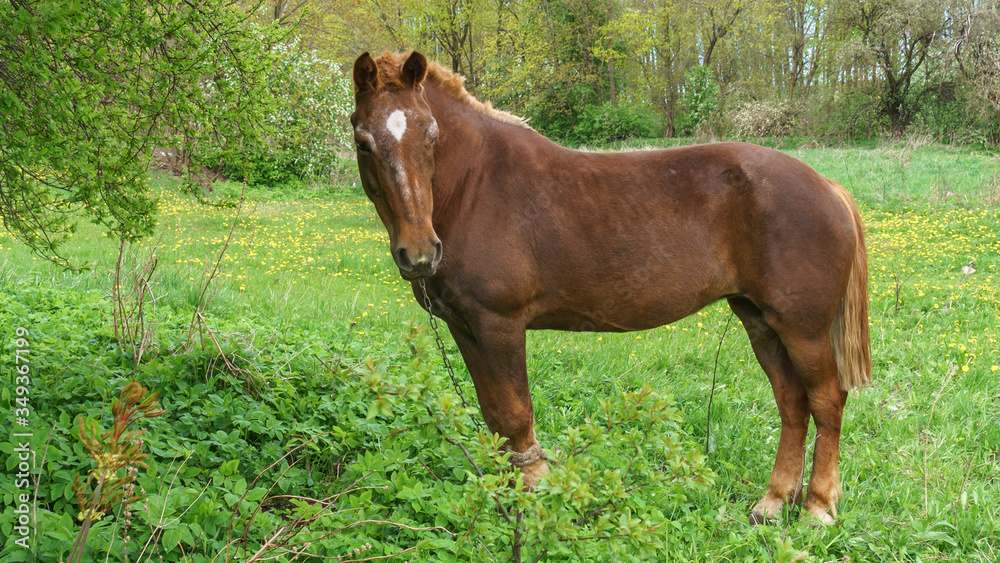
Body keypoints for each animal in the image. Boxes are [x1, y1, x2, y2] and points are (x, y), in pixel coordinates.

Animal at [349, 50, 870, 525]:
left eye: (431, 135)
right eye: (363, 141)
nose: (420, 253)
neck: (473, 187)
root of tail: (827, 186)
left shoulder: (500, 325)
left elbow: (516, 414)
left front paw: (534, 493)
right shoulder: (464, 327)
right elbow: (494, 417)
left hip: (802, 329)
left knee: (826, 401)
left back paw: (817, 508)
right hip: (760, 321)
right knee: (792, 403)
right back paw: (774, 501)